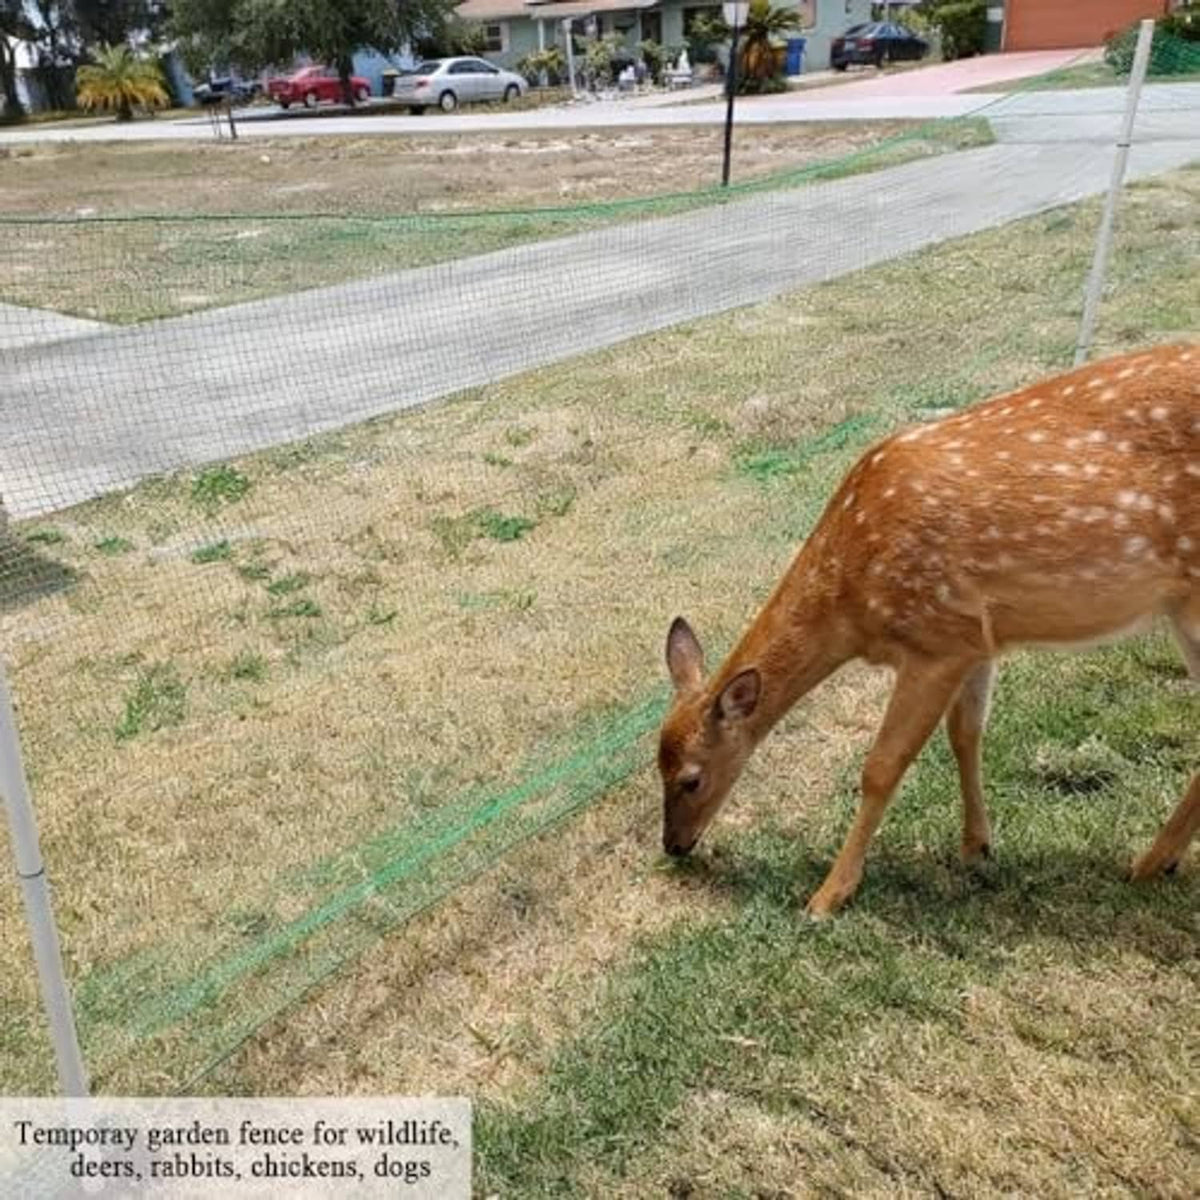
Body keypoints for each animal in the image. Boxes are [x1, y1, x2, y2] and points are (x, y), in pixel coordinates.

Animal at [657, 342, 1199, 918]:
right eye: (655, 763)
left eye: (691, 778)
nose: (674, 846)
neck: (851, 602)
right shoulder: (975, 638)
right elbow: (965, 734)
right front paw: (976, 847)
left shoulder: (933, 639)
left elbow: (881, 767)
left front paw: (828, 895)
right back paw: (1156, 861)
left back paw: (1147, 862)